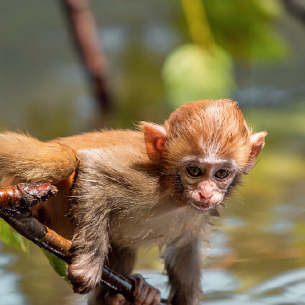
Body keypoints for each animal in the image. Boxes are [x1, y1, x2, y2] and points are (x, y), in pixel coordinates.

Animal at [0, 98, 266, 302]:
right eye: (194, 171)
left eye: (221, 174)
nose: (206, 193)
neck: (175, 193)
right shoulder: (145, 181)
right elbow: (94, 166)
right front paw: (87, 266)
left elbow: (185, 246)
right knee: (65, 159)